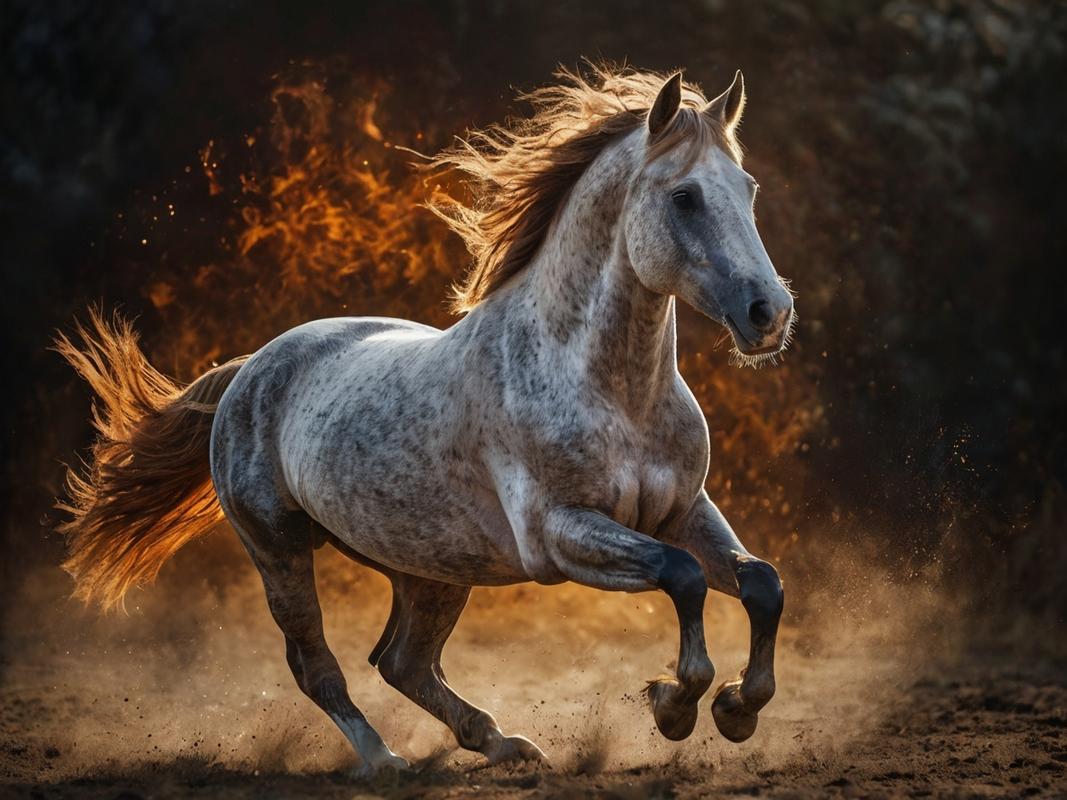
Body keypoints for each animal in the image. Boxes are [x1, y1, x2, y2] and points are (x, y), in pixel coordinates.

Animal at [57, 65, 795, 776]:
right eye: (684, 197)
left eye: (749, 188)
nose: (769, 313)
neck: (614, 392)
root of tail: (247, 371)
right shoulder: (558, 533)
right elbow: (683, 576)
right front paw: (674, 703)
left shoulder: (683, 510)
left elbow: (760, 582)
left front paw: (737, 709)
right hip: (279, 550)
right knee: (318, 667)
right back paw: (386, 761)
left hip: (431, 565)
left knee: (403, 661)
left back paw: (505, 745)